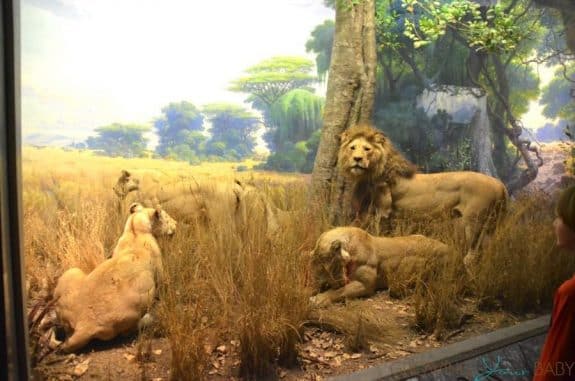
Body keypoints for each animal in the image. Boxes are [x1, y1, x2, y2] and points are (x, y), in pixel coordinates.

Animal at [53, 202, 176, 350]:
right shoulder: (160, 274)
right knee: (131, 329)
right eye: (166, 218)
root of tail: (83, 325)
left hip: (71, 272)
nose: (176, 224)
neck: (135, 230)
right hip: (136, 307)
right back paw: (148, 320)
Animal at [310, 226, 454, 306]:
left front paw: (319, 299)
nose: (320, 282)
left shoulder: (366, 285)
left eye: (325, 267)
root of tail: (451, 250)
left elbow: (339, 291)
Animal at [338, 124, 508, 258]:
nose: (357, 159)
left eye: (367, 149)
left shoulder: (383, 213)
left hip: (474, 223)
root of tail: (500, 184)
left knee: (472, 255)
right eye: (352, 148)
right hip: (491, 225)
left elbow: (377, 236)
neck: (371, 174)